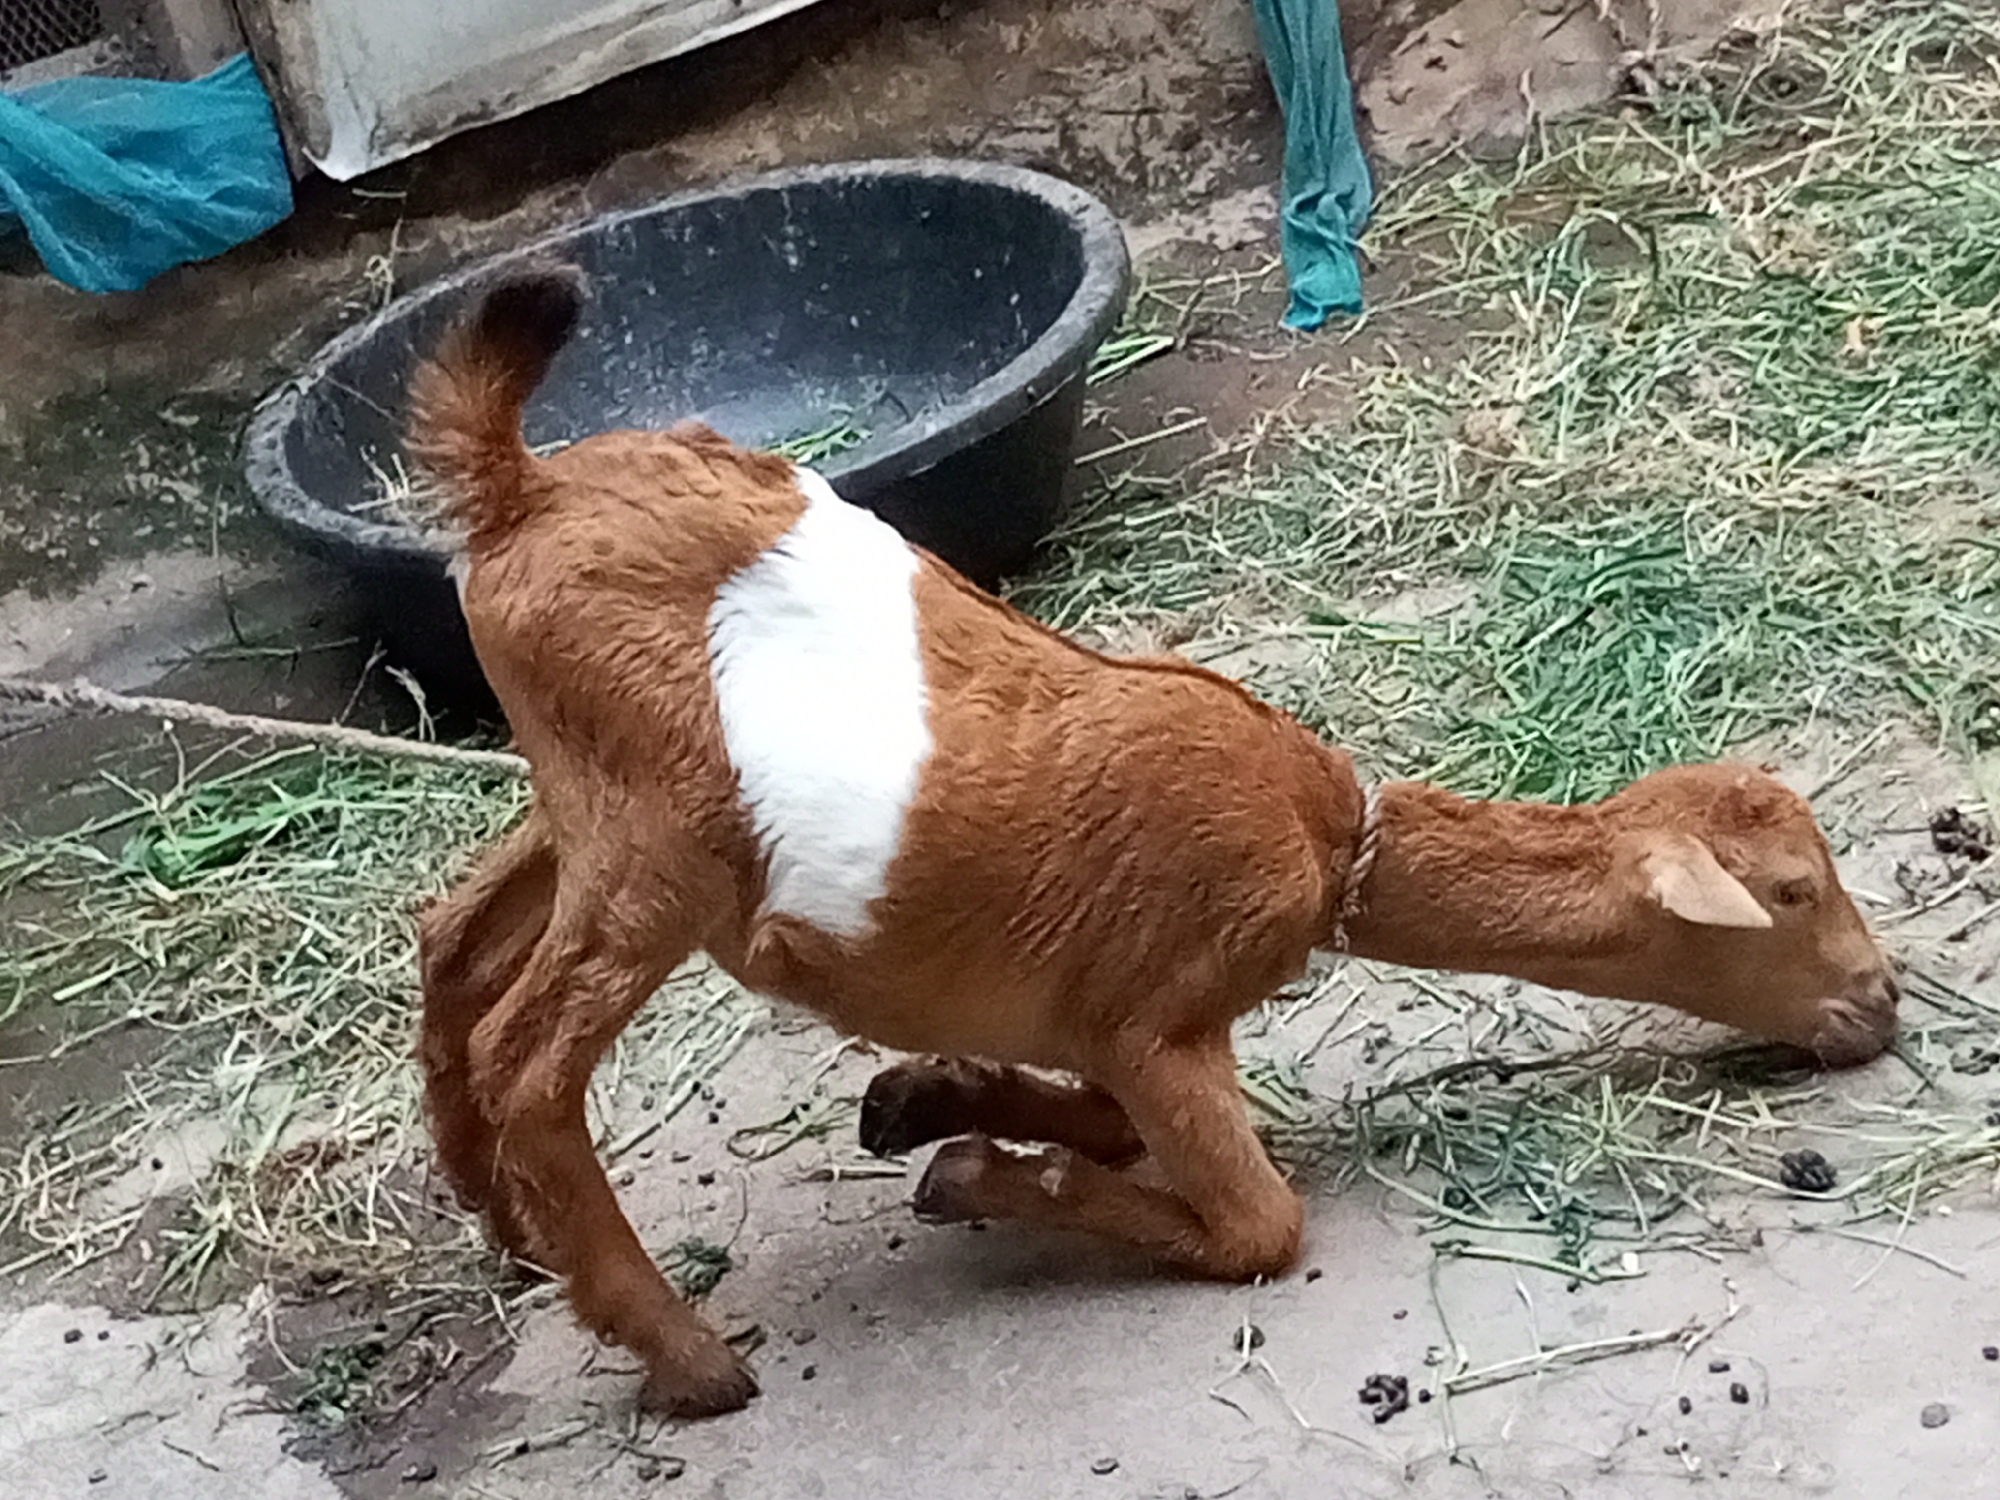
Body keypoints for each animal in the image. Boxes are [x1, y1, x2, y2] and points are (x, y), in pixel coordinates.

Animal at [406, 269, 1898, 1419]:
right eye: (1789, 890)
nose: (1881, 1005)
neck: (1328, 840)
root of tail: (517, 492)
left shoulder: (1101, 1015)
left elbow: (1094, 1111)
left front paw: (929, 1103)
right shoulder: (1160, 1014)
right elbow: (1256, 1225)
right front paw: (982, 1174)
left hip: (583, 800)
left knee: (454, 944)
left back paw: (509, 1235)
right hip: (656, 844)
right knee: (530, 1058)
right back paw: (686, 1359)